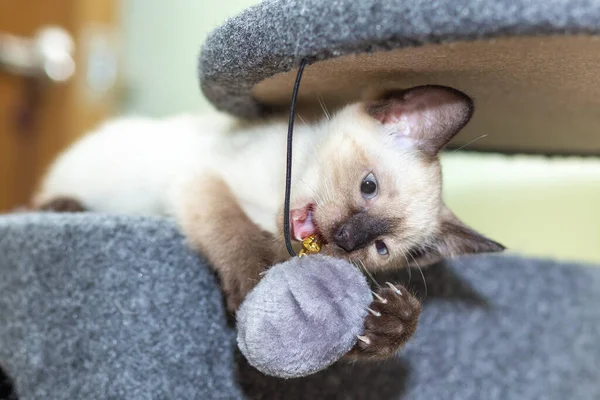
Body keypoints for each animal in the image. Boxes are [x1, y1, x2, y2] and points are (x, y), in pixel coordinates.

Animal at [31, 84, 502, 360]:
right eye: (368, 186)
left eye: (381, 248)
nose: (347, 238)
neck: (271, 198)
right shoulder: (200, 178)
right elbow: (232, 226)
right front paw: (257, 280)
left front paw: (392, 323)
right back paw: (62, 207)